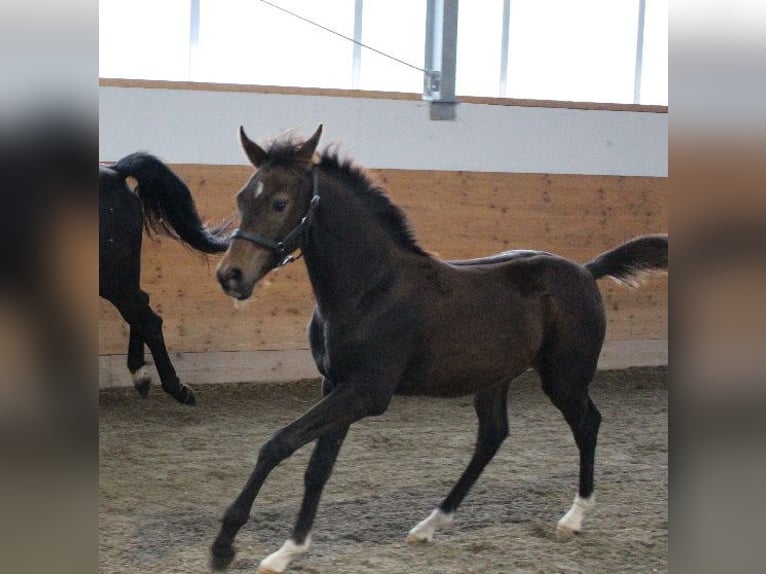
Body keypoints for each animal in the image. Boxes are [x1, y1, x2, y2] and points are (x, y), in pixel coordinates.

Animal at [100, 153, 230, 404]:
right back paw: (141, 375)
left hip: (112, 277)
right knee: (142, 305)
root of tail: (115, 172)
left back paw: (176, 388)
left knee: (147, 319)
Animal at [208, 124, 664, 572]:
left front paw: (224, 546)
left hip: (564, 377)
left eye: (280, 202)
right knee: (492, 436)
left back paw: (575, 516)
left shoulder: (367, 392)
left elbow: (278, 444)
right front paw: (289, 549)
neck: (370, 289)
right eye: (242, 197)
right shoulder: (335, 385)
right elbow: (317, 468)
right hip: (495, 378)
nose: (230, 276)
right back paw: (430, 524)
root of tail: (586, 271)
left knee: (587, 424)